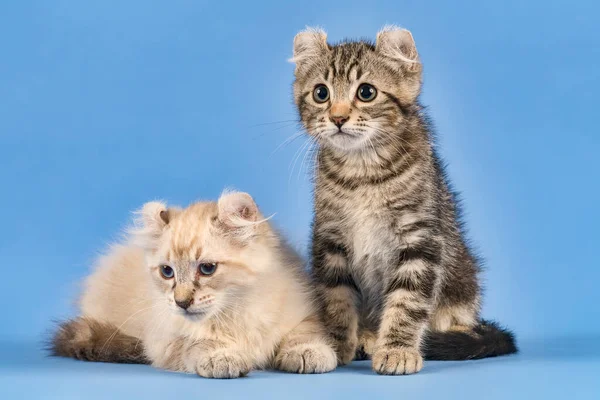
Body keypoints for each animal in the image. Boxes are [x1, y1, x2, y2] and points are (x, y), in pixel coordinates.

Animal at [51, 191, 338, 378]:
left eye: (207, 269)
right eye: (167, 272)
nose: (181, 302)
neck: (232, 312)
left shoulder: (302, 312)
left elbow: (302, 334)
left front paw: (307, 352)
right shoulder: (166, 340)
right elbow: (199, 343)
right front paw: (222, 357)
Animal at [290, 26, 516, 374]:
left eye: (366, 92)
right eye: (321, 94)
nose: (338, 118)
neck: (362, 171)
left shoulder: (420, 238)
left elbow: (407, 301)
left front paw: (397, 348)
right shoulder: (329, 237)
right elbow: (336, 296)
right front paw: (337, 343)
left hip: (463, 280)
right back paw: (367, 336)